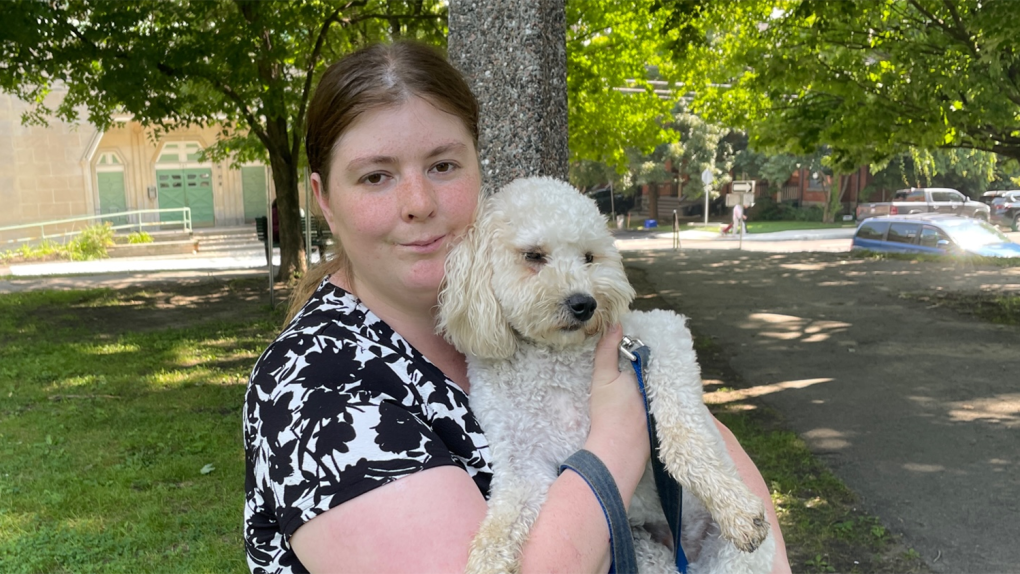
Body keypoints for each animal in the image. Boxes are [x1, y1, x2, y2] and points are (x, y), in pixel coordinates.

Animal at [436, 177, 771, 570]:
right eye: (533, 255)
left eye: (589, 257)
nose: (584, 303)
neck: (555, 358)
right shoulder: (522, 461)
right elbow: (501, 520)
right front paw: (487, 562)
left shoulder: (660, 335)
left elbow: (684, 436)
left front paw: (735, 505)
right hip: (643, 549)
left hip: (735, 558)